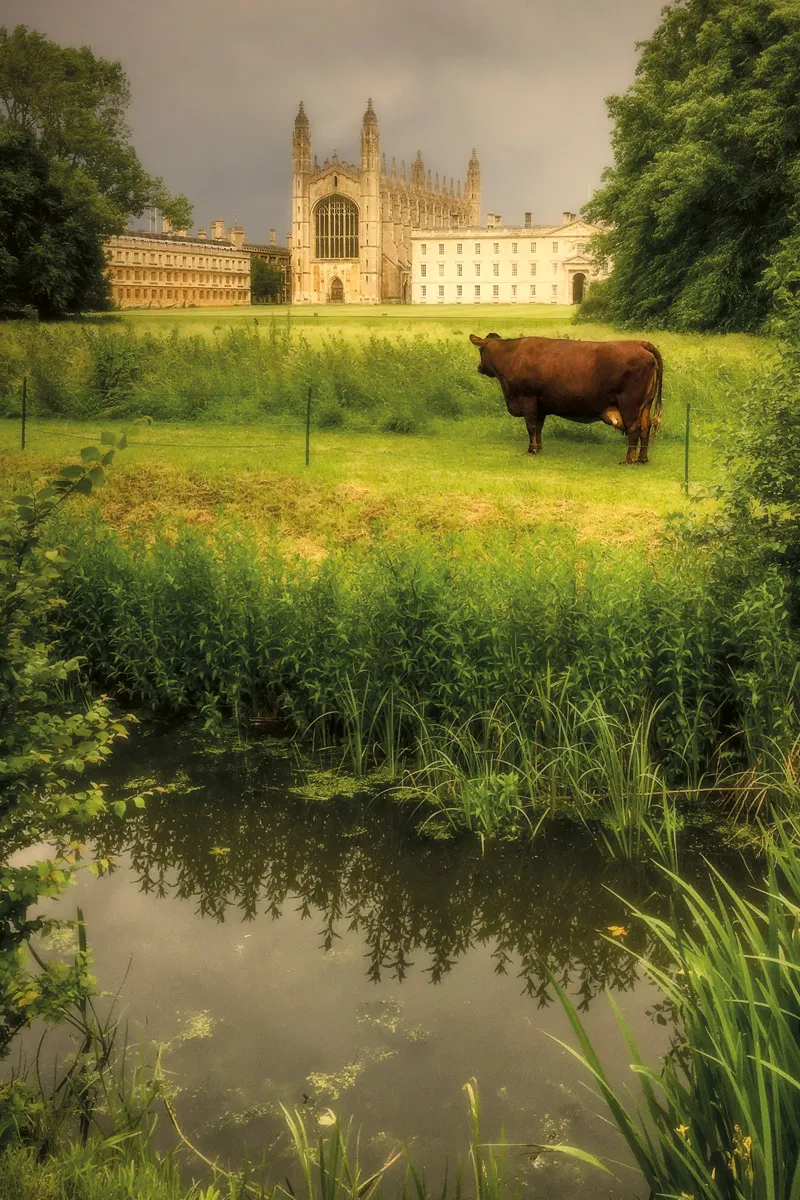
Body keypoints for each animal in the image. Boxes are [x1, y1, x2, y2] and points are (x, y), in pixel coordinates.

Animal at [470, 333, 662, 463]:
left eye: (480, 350)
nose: (479, 367)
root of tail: (640, 343)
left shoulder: (528, 398)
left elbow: (531, 427)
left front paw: (531, 450)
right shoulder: (541, 405)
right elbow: (538, 428)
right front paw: (539, 449)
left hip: (630, 404)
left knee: (635, 429)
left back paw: (628, 460)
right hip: (645, 405)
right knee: (646, 428)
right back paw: (642, 459)